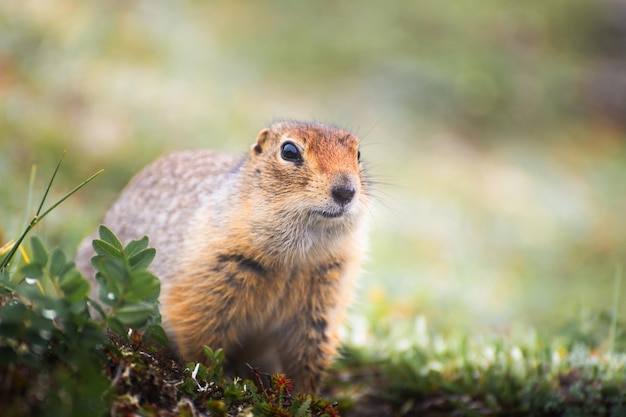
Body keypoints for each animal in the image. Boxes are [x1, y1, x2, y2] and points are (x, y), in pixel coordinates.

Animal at [75, 120, 368, 394]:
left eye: (358, 153)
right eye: (289, 151)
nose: (346, 191)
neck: (297, 258)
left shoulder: (325, 293)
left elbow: (311, 349)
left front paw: (304, 396)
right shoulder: (212, 274)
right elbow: (201, 333)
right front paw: (212, 377)